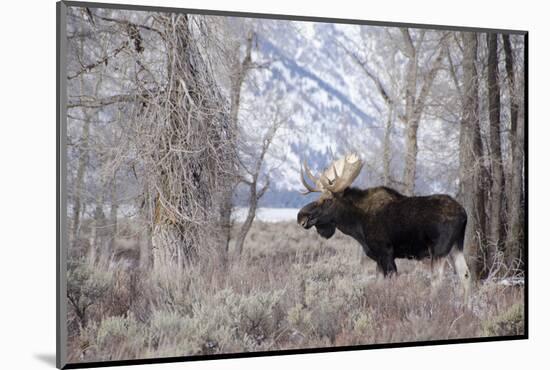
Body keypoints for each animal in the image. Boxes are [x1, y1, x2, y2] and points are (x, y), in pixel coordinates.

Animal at [300, 153, 472, 294]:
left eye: (328, 200)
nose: (301, 216)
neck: (356, 225)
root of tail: (464, 214)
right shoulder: (377, 257)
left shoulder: (386, 252)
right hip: (456, 247)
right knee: (465, 275)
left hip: (439, 250)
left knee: (438, 281)